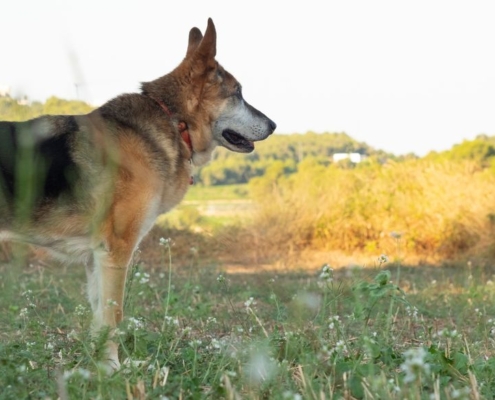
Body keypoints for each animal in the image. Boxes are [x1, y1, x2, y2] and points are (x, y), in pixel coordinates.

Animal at [0, 18, 278, 368]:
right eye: (238, 94)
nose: (274, 125)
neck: (173, 119)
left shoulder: (97, 259)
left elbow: (99, 319)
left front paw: (101, 366)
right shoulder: (115, 252)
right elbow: (113, 317)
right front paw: (113, 368)